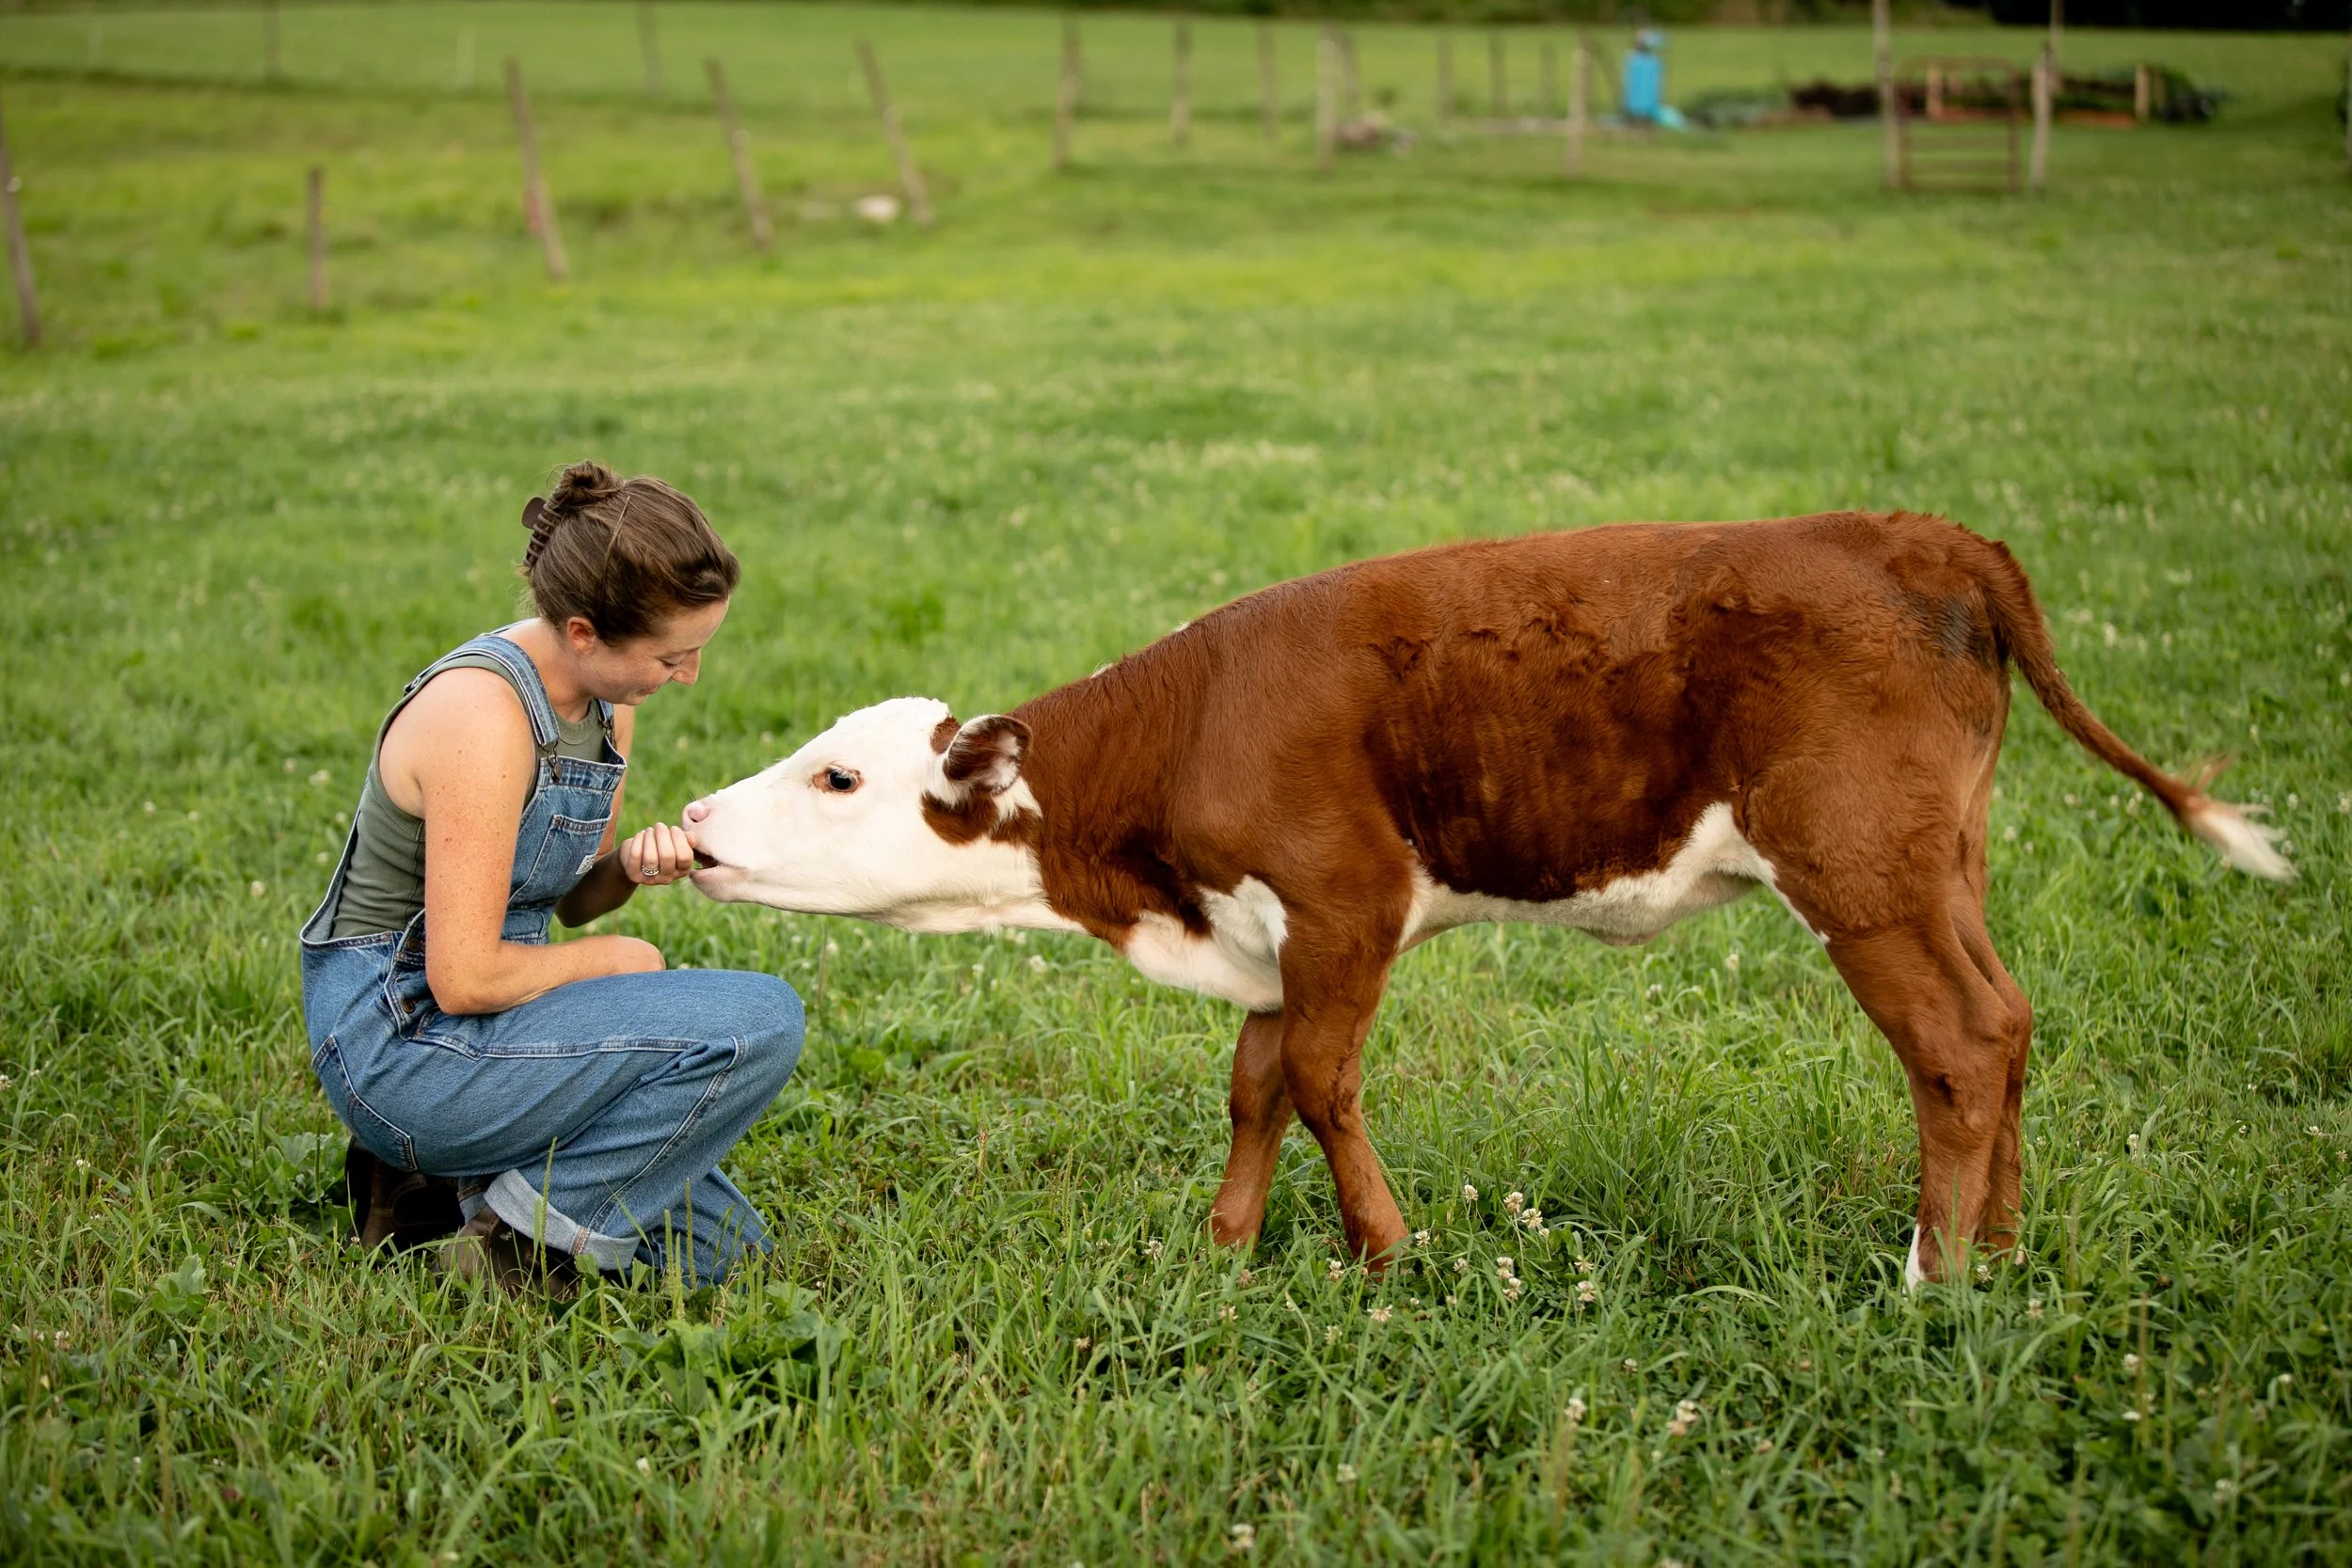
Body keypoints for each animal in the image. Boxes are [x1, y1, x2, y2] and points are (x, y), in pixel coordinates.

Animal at [681, 512, 2292, 1286]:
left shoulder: (1341, 901)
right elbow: (1256, 1081)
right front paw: (1224, 1249)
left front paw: (1385, 1251)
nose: (690, 823)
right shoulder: (1270, 932)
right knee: (2008, 1021)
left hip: (1858, 867)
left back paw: (1932, 1277)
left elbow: (1321, 1078)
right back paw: (2005, 1250)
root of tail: (1912, 532)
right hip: (1939, 858)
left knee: (1953, 1043)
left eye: (836, 774)